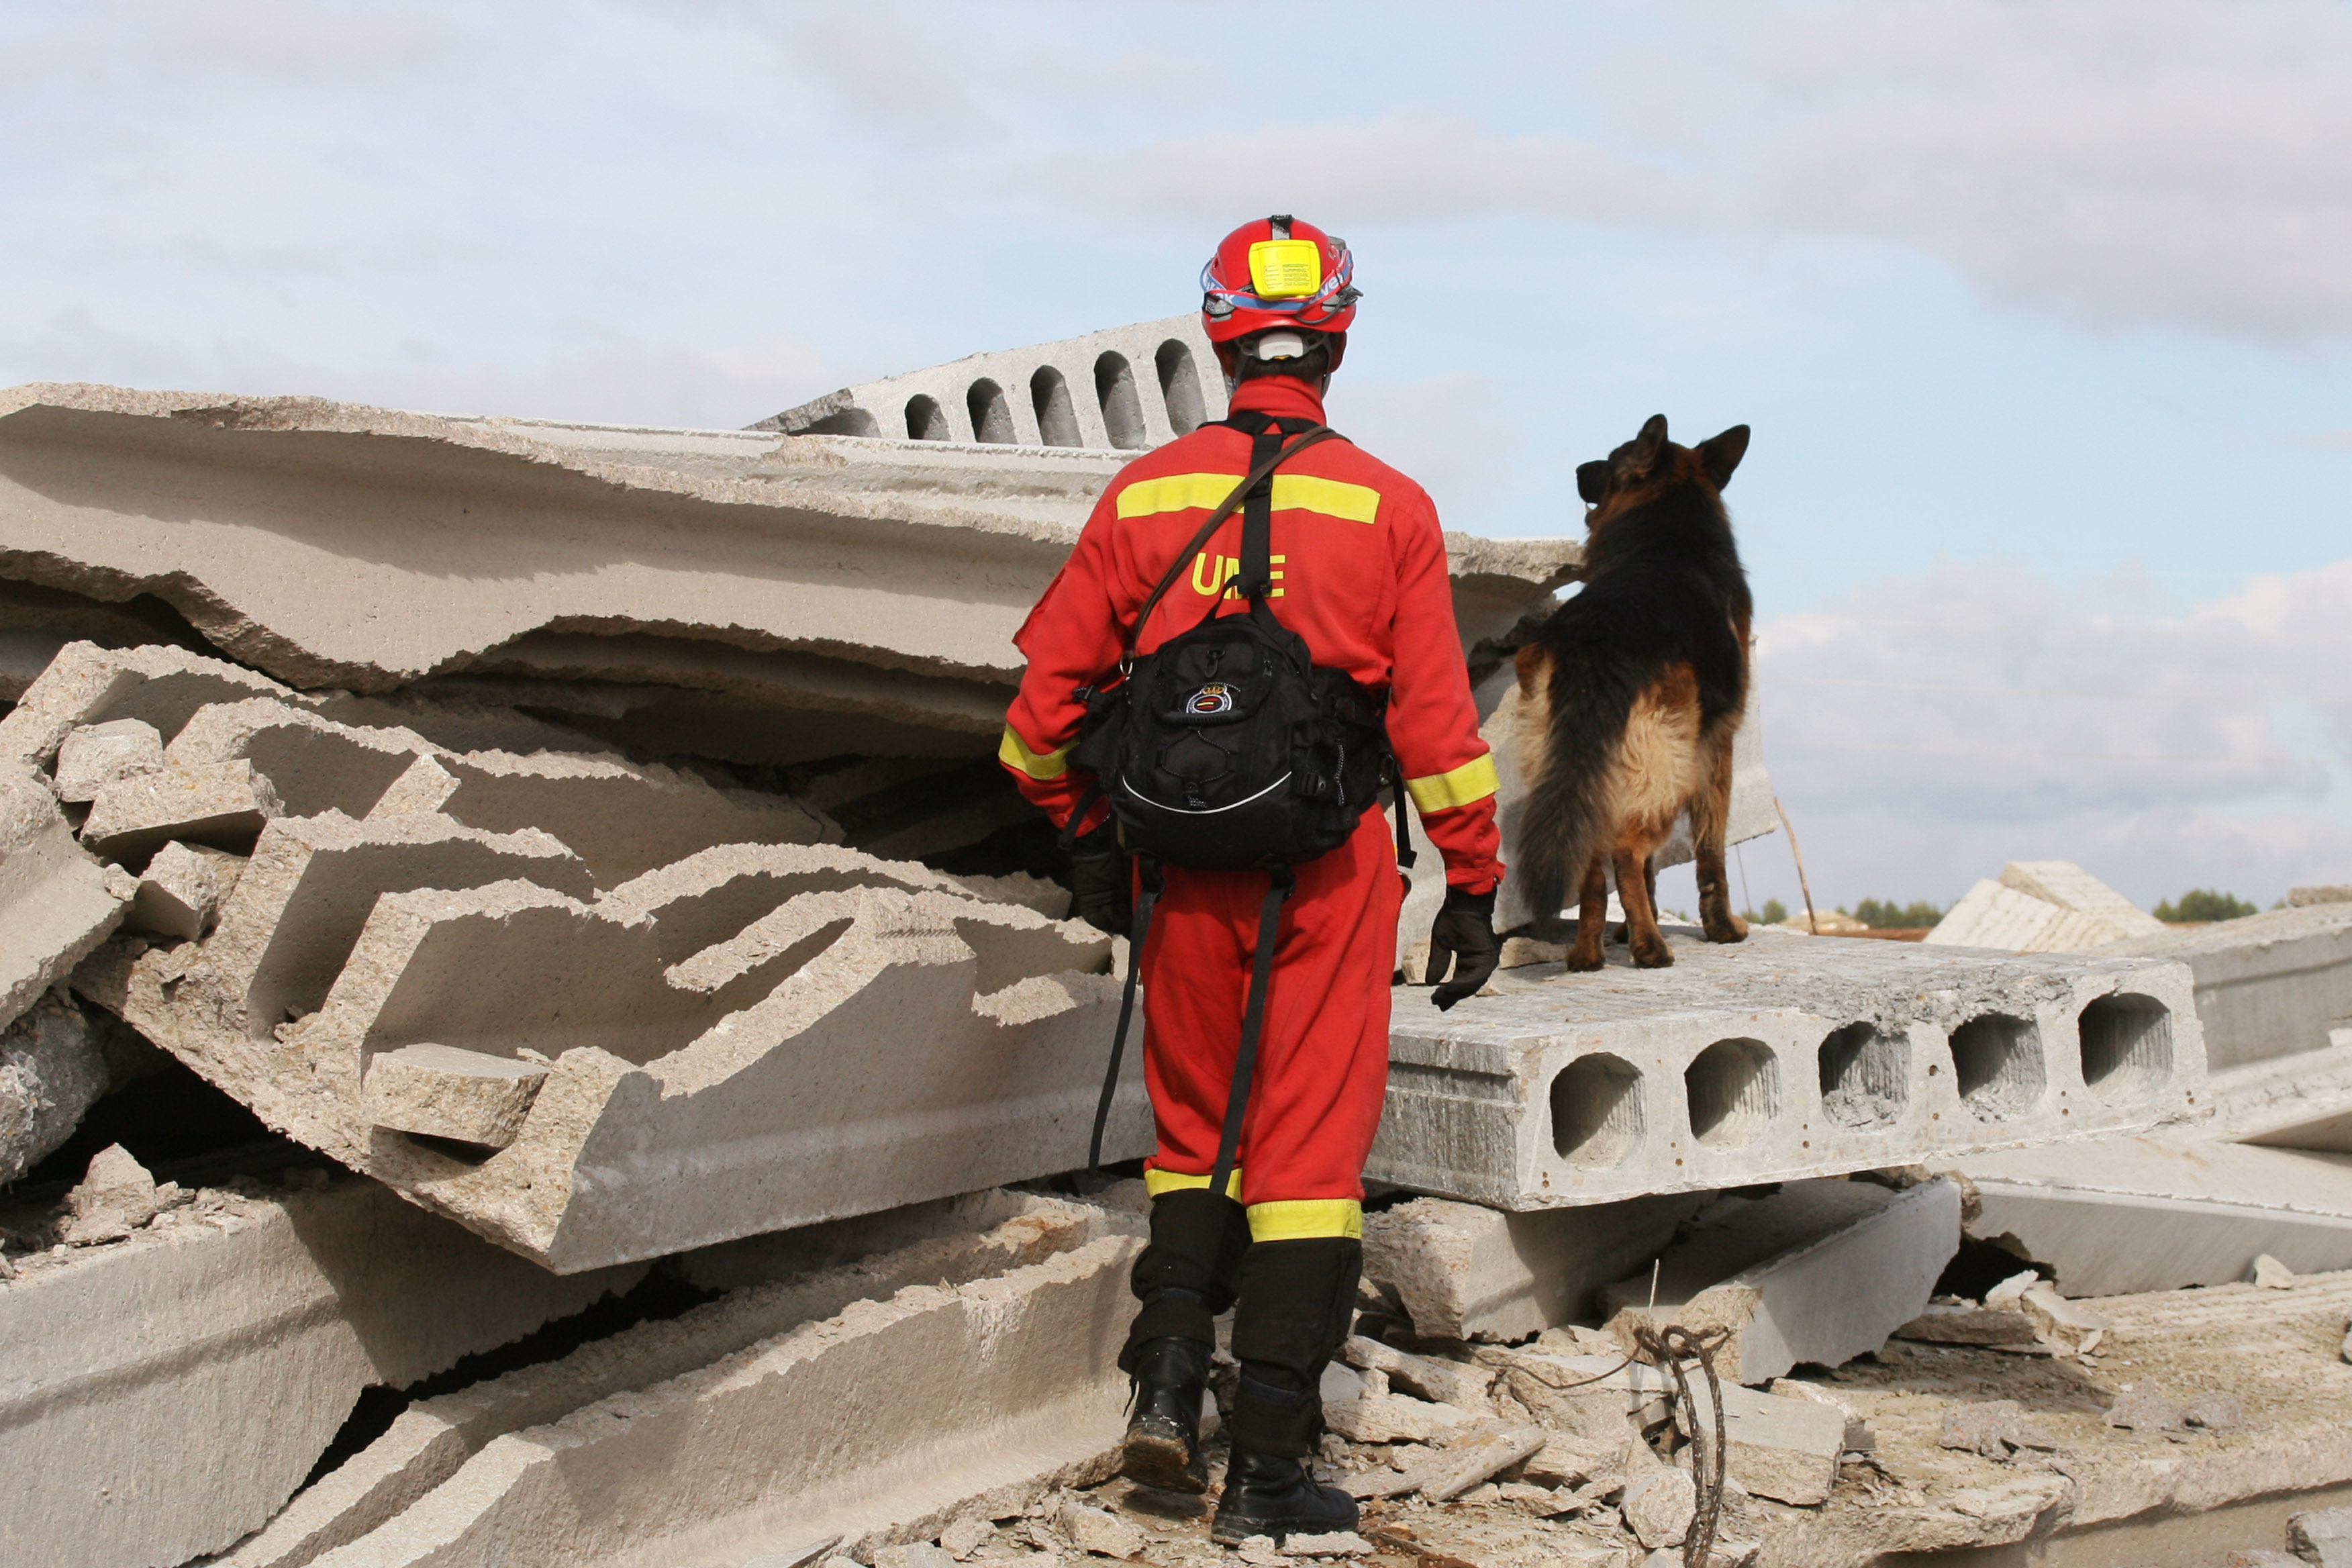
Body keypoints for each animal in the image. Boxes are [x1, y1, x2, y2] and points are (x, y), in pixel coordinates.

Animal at [1512, 413, 1752, 970]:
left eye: (1607, 459)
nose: (1579, 469)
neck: (1666, 534)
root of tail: (1593, 636)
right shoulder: (1717, 748)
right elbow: (1711, 851)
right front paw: (1722, 929)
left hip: (1570, 766)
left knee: (1591, 863)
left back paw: (1588, 953)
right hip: (1669, 765)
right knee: (1626, 851)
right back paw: (1651, 949)